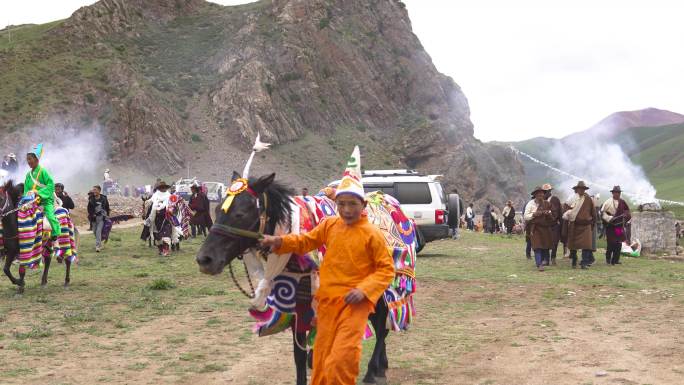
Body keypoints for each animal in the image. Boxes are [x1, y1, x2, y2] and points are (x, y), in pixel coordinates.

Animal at [198, 174, 390, 384]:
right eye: (217, 209)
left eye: (240, 214)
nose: (204, 260)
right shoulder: (296, 305)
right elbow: (299, 355)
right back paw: (382, 365)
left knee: (382, 326)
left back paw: (372, 371)